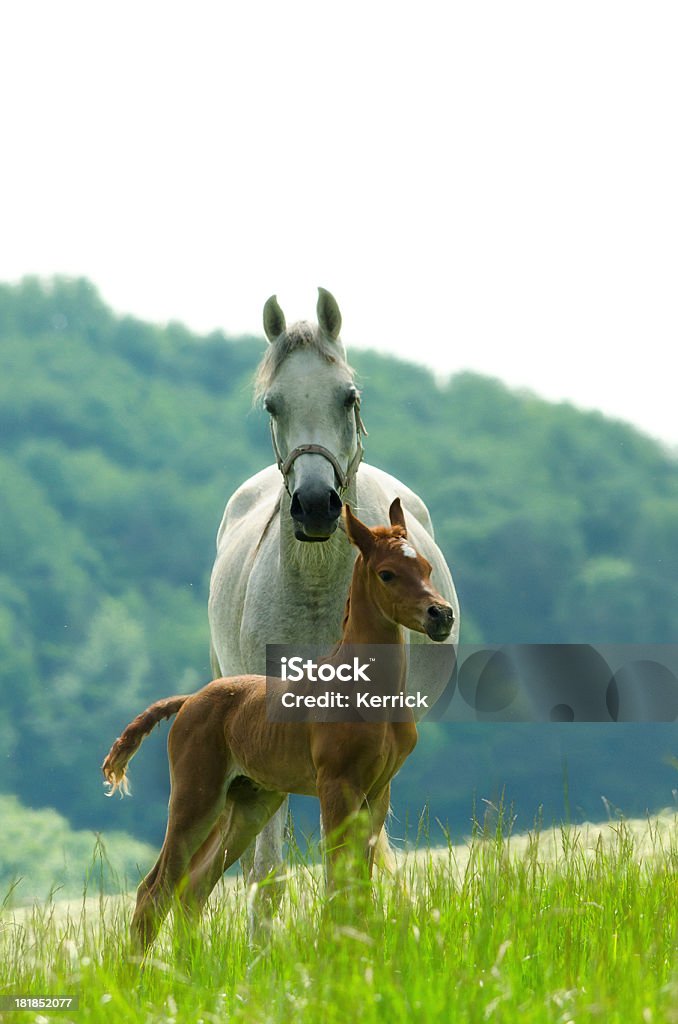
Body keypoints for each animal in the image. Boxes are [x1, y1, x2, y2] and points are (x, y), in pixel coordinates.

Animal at [103, 499, 454, 954]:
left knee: (193, 889)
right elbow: (338, 875)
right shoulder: (336, 784)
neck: (364, 686)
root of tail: (190, 700)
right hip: (196, 799)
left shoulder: (378, 790)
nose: (440, 615)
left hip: (249, 804)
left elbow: (360, 879)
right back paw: (136, 970)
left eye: (426, 567)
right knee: (156, 888)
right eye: (387, 573)